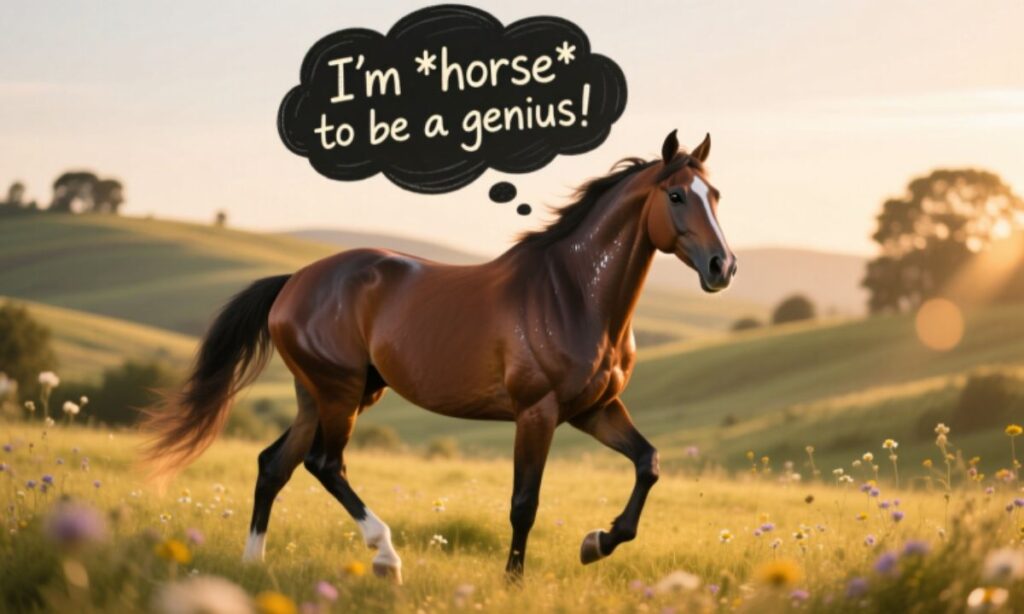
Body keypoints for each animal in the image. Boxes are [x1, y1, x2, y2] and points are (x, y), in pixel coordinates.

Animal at [141, 129, 737, 583]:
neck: (571, 295)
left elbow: (648, 463)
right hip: (339, 393)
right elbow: (525, 502)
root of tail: (294, 282)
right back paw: (386, 557)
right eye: (676, 196)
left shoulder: (594, 410)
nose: (722, 267)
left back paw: (253, 564)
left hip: (325, 394)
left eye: (716, 195)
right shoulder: (537, 412)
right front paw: (514, 581)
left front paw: (597, 542)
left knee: (274, 466)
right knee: (324, 464)